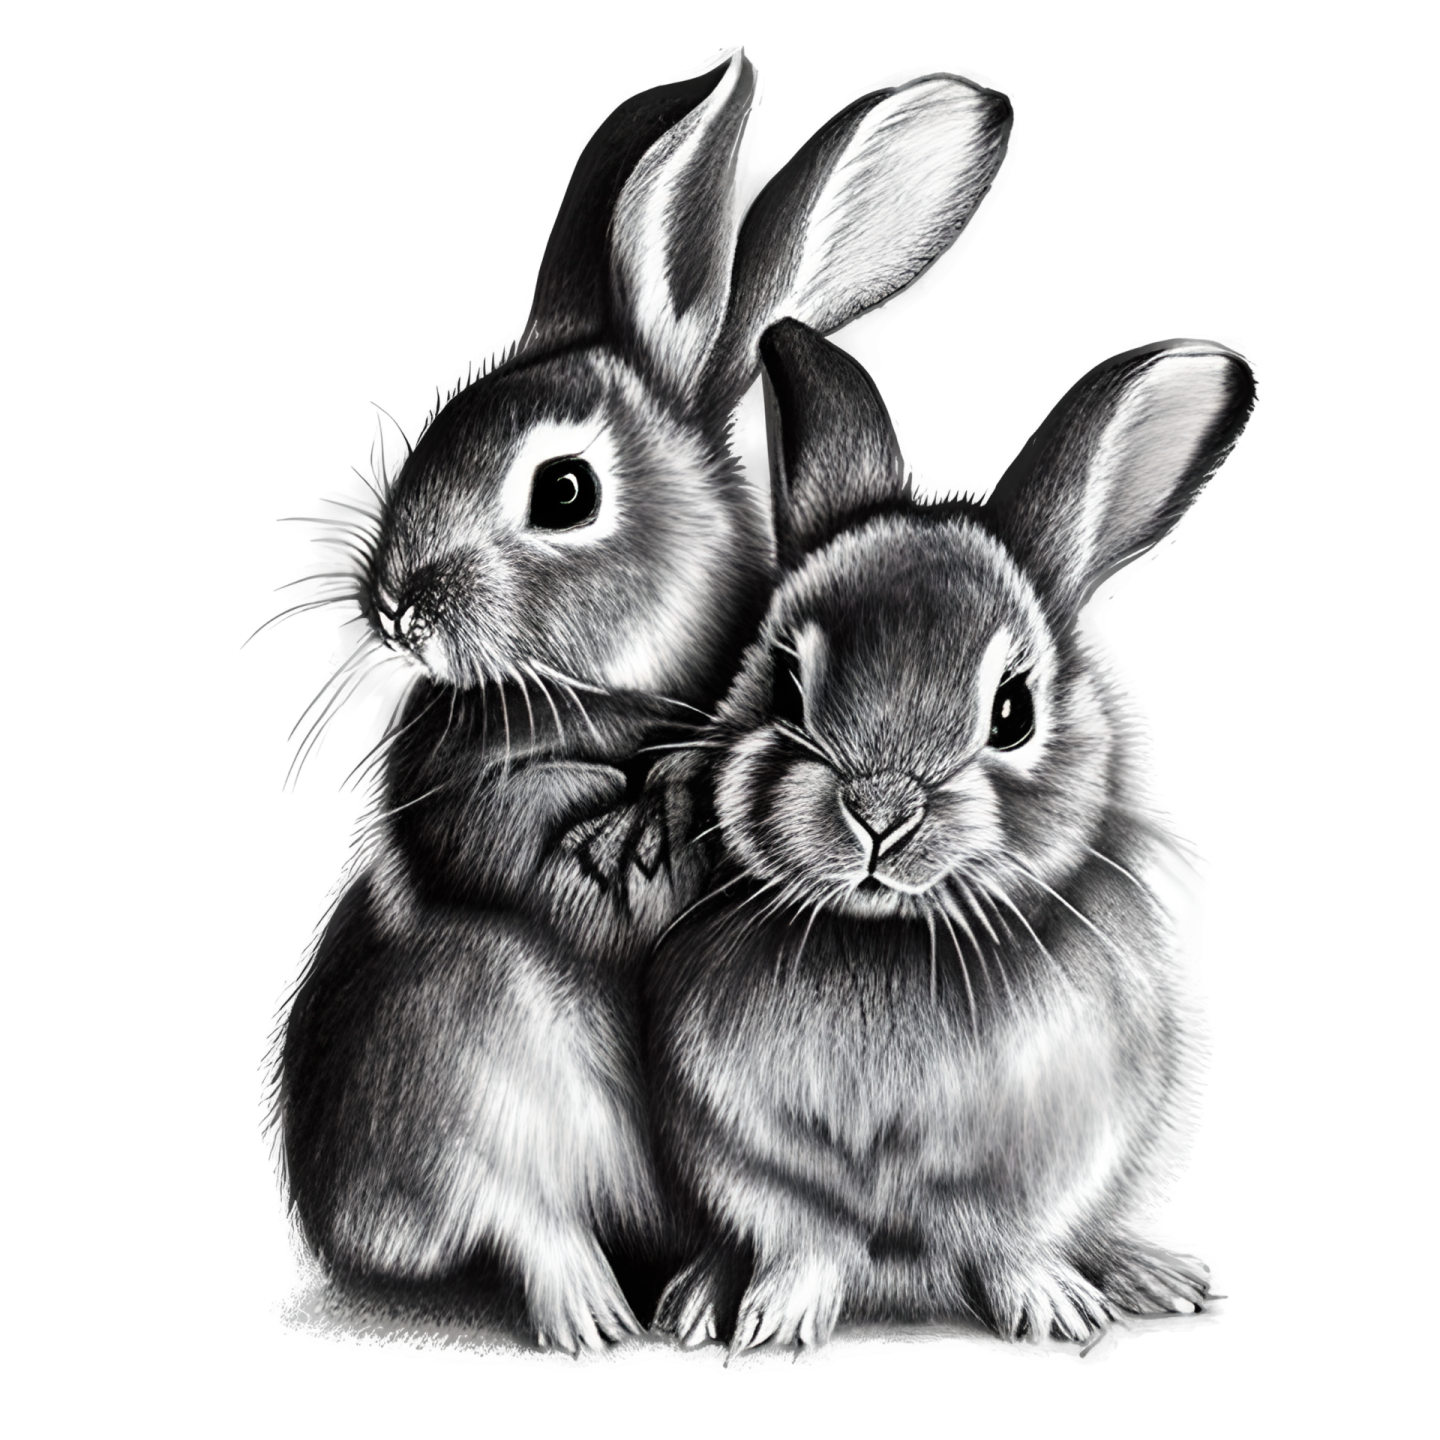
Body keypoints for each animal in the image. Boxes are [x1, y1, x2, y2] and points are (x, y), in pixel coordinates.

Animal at [259, 50, 1018, 1350]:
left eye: (563, 490)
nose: (400, 609)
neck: (633, 689)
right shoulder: (481, 792)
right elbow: (552, 860)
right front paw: (661, 823)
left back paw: (699, 1295)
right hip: (452, 1062)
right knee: (515, 1217)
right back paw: (592, 1310)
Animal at [648, 318, 1256, 1348]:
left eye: (1012, 712)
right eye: (783, 687)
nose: (880, 808)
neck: (891, 939)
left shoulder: (1047, 1162)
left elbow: (1010, 1240)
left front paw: (1054, 1312)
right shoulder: (747, 1161)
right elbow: (800, 1239)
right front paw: (770, 1320)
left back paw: (1143, 1280)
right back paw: (693, 1298)